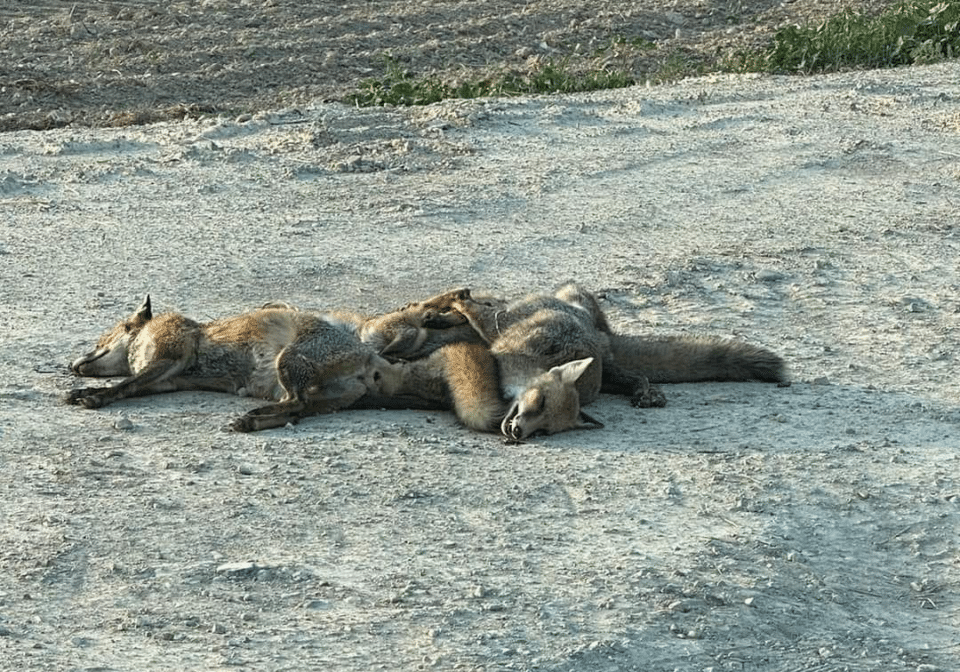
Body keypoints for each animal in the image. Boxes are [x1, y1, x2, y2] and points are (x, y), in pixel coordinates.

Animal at [66, 292, 469, 431]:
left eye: (100, 341)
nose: (73, 364)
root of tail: (368, 357)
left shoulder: (169, 355)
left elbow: (124, 384)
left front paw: (91, 395)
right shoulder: (165, 378)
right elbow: (129, 388)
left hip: (285, 362)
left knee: (296, 403)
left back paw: (250, 419)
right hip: (303, 390)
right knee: (297, 410)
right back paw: (255, 421)